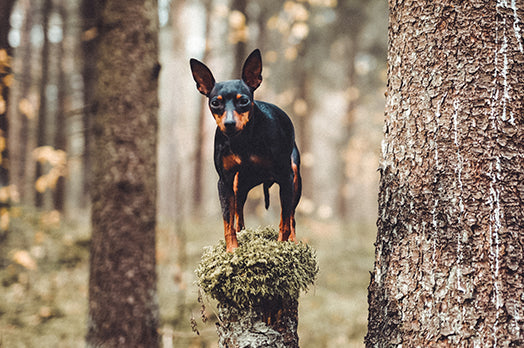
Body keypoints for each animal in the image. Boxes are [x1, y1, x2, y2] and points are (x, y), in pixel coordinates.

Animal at [190, 49, 300, 251]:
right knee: (239, 215)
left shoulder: (286, 177)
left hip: (294, 180)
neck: (243, 141)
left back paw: (293, 240)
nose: (229, 124)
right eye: (215, 103)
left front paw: (281, 244)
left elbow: (285, 219)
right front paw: (232, 249)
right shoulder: (224, 182)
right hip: (239, 185)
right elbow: (228, 222)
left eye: (244, 101)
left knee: (291, 216)